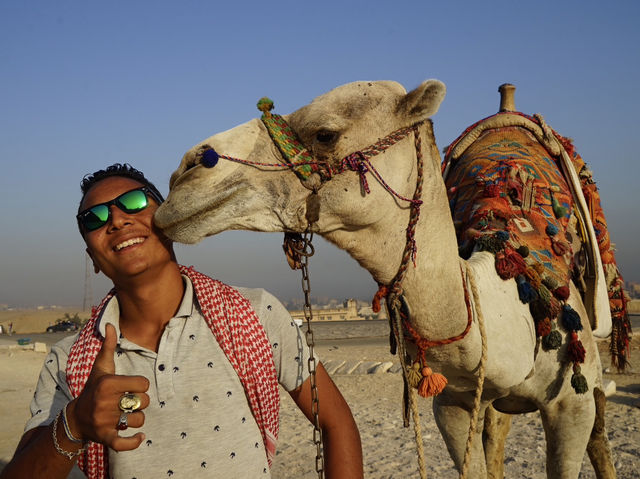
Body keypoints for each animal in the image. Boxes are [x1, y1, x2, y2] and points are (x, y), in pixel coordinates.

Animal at [154, 80, 616, 478]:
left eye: (325, 134)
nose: (185, 170)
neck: (515, 303)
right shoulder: (454, 403)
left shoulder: (571, 405)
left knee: (599, 439)